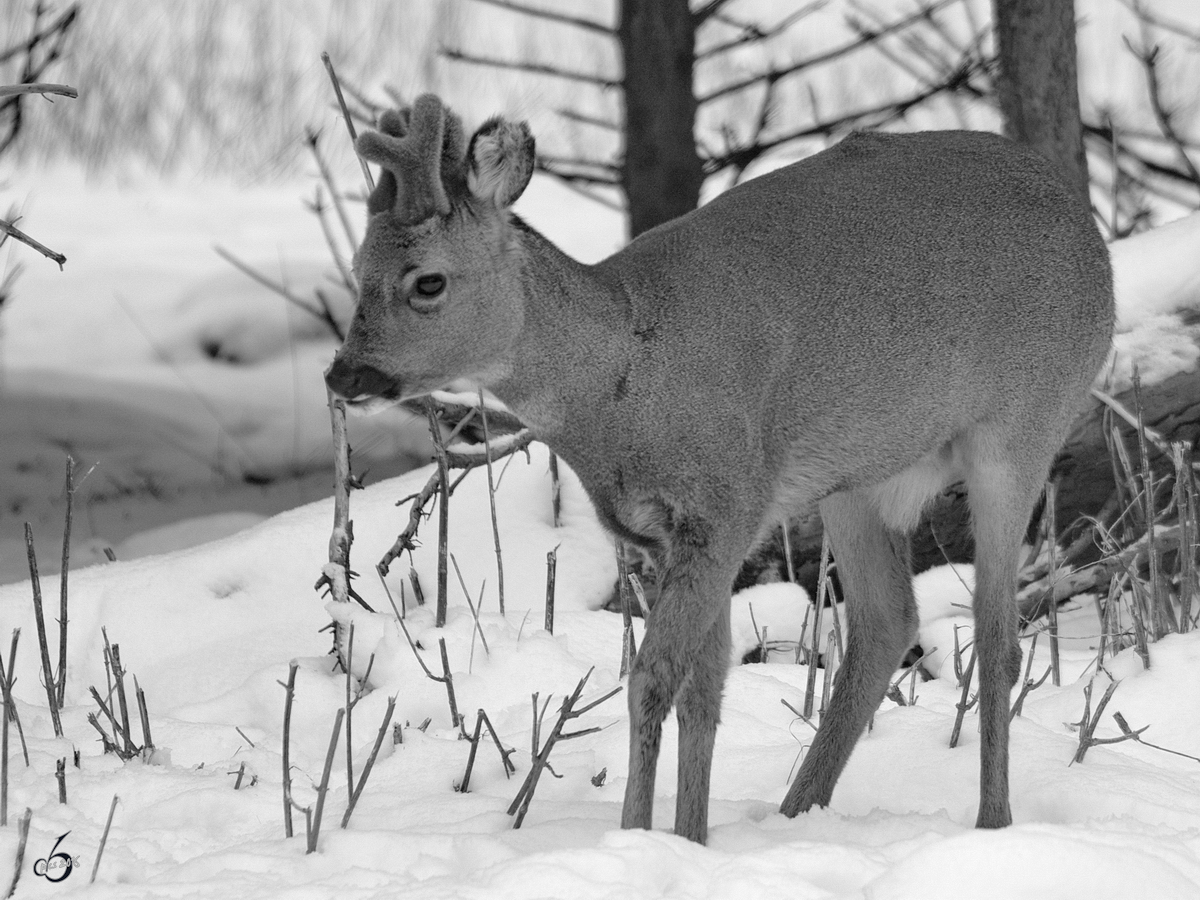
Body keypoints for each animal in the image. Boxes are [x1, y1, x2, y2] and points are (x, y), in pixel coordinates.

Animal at [326, 97, 1113, 844]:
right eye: (359, 271)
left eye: (428, 282)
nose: (342, 373)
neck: (623, 377)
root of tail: (1087, 222)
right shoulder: (669, 534)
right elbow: (703, 690)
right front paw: (691, 839)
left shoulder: (725, 505)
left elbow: (653, 679)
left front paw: (637, 837)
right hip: (856, 479)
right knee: (887, 621)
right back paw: (797, 812)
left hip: (1023, 423)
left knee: (999, 637)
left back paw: (992, 823)